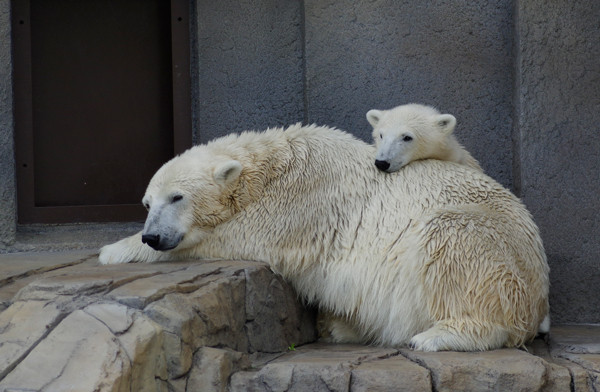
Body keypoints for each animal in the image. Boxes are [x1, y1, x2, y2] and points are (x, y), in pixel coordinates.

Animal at [99, 124, 548, 350]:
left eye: (177, 197)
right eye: (146, 202)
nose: (153, 236)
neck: (273, 162)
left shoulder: (306, 199)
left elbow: (243, 235)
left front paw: (113, 249)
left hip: (498, 254)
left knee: (453, 239)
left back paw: (439, 335)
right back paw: (339, 327)